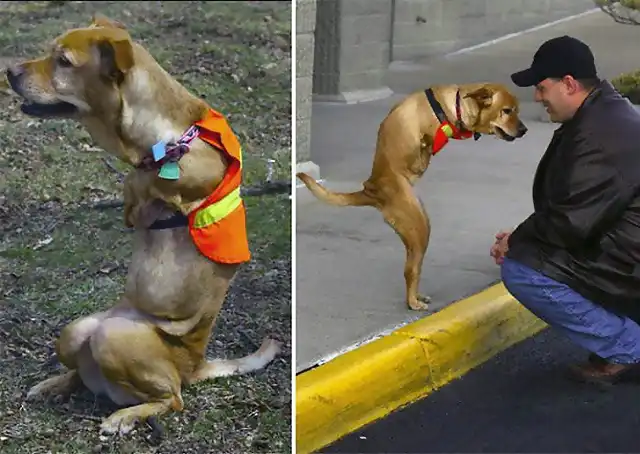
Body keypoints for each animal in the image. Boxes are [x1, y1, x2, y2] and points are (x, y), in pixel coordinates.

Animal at [5, 15, 280, 436]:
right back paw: (55, 385)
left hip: (116, 339)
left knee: (173, 399)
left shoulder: (197, 167)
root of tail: (194, 368)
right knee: (83, 372)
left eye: (64, 61)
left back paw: (125, 416)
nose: (9, 71)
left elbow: (151, 177)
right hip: (77, 331)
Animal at [298, 83, 528, 312]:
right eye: (507, 111)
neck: (453, 105)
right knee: (410, 270)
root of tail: (371, 190)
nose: (524, 130)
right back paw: (412, 301)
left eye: (517, 110)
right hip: (419, 228)